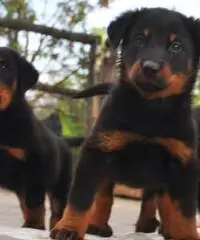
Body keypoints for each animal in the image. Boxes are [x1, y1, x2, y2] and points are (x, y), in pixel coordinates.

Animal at [0, 47, 84, 231]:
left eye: (4, 67)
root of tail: (62, 140)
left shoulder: (35, 166)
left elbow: (34, 203)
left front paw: (34, 225)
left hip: (61, 183)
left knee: (57, 210)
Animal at [50, 7, 200, 240]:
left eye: (176, 46)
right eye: (139, 39)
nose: (150, 67)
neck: (149, 109)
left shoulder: (182, 163)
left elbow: (184, 211)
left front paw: (186, 235)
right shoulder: (96, 153)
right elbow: (81, 198)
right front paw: (69, 228)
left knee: (154, 198)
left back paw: (155, 225)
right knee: (104, 195)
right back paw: (98, 224)